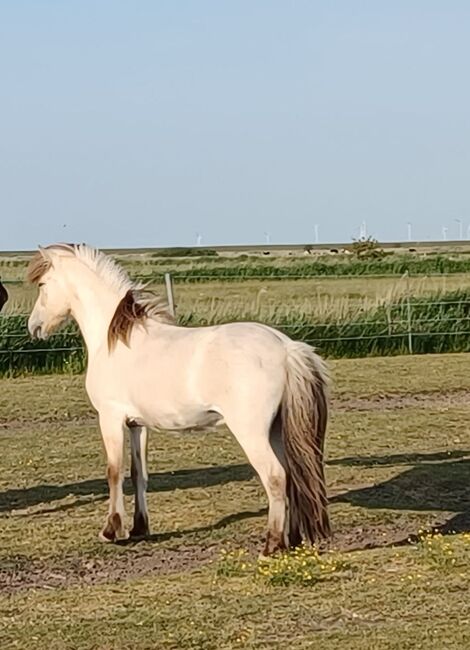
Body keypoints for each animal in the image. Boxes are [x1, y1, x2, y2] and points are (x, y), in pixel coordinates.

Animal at [26, 243, 330, 552]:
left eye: (42, 285)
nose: (34, 326)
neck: (112, 341)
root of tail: (286, 348)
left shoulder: (110, 418)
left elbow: (113, 471)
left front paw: (111, 530)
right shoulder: (137, 424)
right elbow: (138, 473)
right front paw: (139, 527)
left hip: (252, 432)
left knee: (275, 476)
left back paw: (272, 544)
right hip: (277, 429)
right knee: (292, 475)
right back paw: (293, 539)